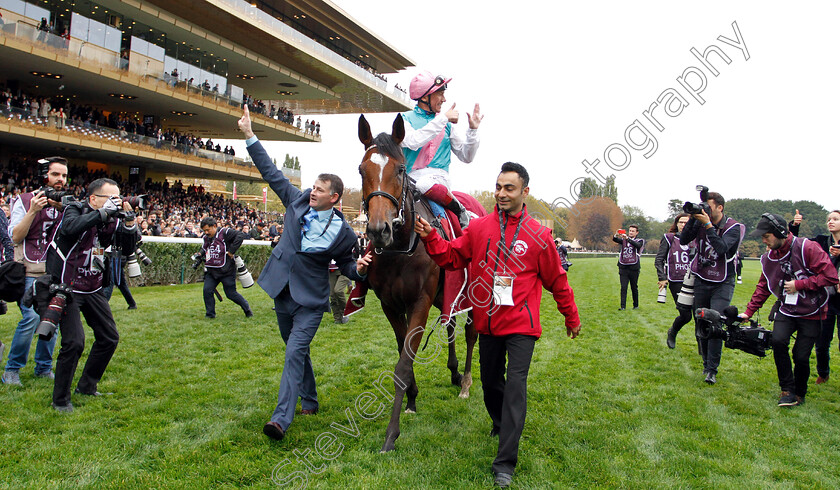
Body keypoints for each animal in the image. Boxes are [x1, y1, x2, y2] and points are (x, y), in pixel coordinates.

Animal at [358, 113, 480, 454]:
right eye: (361, 169)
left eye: (400, 169)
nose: (378, 230)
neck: (401, 249)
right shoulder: (390, 304)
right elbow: (404, 352)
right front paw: (412, 400)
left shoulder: (420, 302)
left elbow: (402, 365)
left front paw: (391, 434)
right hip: (447, 293)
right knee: (451, 325)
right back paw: (454, 373)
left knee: (471, 333)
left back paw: (465, 382)